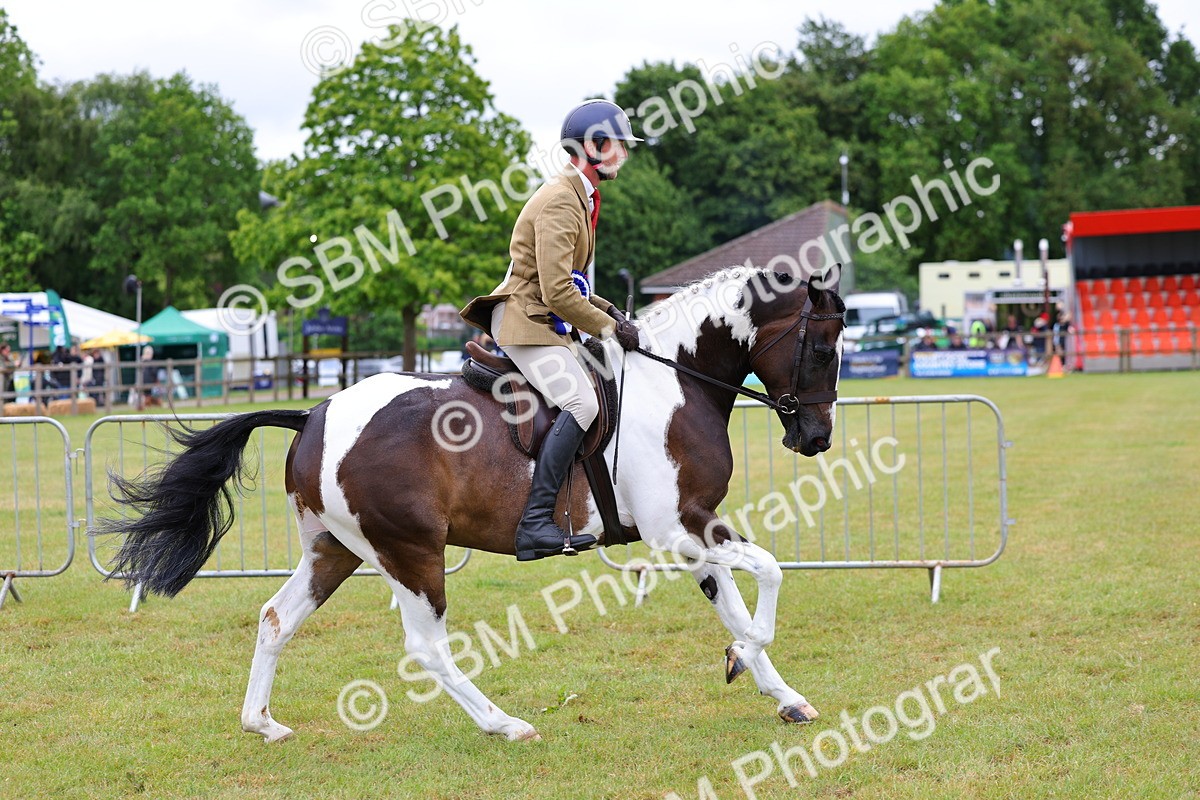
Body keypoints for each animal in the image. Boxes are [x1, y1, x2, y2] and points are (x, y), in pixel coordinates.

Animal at [98, 266, 845, 743]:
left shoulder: (696, 527)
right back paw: (503, 723)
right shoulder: (677, 529)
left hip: (335, 550)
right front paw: (742, 654)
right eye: (821, 346)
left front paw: (781, 694)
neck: (676, 385)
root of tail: (313, 414)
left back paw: (262, 723)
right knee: (426, 649)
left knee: (277, 618)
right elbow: (769, 575)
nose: (816, 438)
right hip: (410, 552)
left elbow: (739, 599)